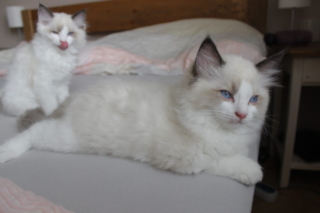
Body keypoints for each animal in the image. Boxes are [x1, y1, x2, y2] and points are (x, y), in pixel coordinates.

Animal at [0, 37, 284, 186]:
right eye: (226, 95)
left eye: (253, 100)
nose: (242, 115)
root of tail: (72, 100)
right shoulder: (188, 157)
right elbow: (222, 159)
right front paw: (253, 171)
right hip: (68, 140)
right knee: (34, 131)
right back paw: (5, 153)